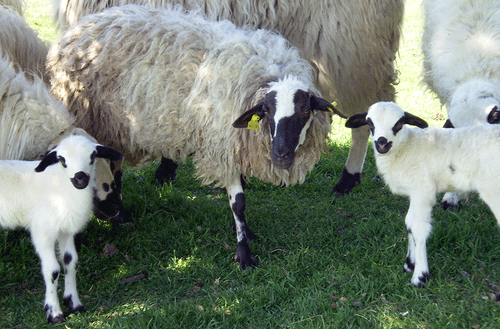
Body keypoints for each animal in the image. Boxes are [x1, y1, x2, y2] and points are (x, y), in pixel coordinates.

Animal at [0, 134, 122, 322]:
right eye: (62, 160)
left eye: (93, 156)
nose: (80, 178)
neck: (60, 186)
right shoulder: (42, 232)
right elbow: (53, 270)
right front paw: (54, 312)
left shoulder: (66, 231)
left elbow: (71, 263)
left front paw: (74, 304)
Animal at [346, 101, 500, 286]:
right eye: (370, 123)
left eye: (399, 124)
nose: (382, 144)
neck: (407, 147)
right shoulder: (415, 192)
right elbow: (409, 223)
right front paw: (409, 264)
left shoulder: (423, 190)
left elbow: (418, 228)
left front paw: (420, 276)